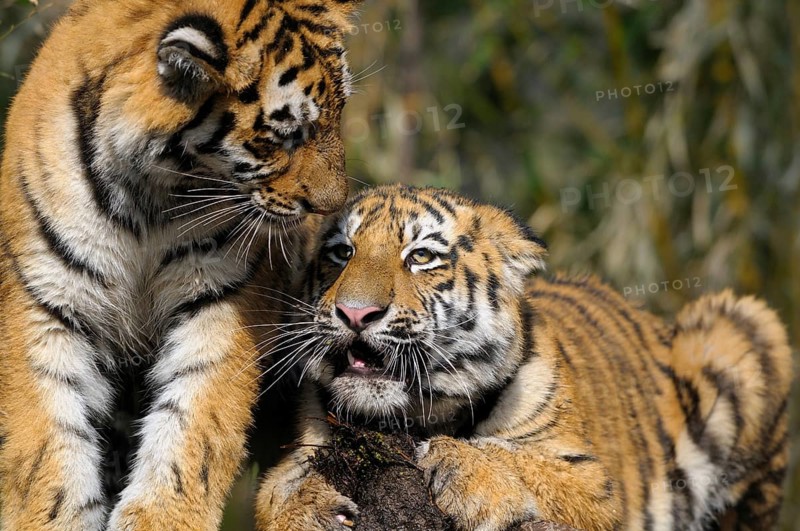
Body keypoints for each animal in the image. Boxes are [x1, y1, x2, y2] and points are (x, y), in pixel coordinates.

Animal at [0, 0, 363, 529]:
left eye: (340, 112)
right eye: (286, 135)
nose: (333, 205)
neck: (149, 196)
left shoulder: (221, 297)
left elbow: (194, 425)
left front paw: (163, 518)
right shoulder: (45, 304)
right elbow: (47, 448)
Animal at [256, 184, 793, 531]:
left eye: (421, 257)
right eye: (342, 252)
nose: (355, 313)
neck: (418, 415)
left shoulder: (593, 482)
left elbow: (522, 461)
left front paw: (466, 469)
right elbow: (277, 489)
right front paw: (309, 505)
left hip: (742, 325)